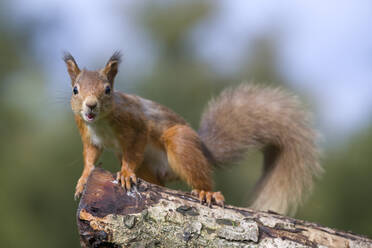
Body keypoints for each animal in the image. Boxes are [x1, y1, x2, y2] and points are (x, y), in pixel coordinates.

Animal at [64, 51, 322, 214]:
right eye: (75, 90)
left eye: (108, 90)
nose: (90, 105)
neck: (99, 123)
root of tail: (204, 149)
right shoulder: (87, 134)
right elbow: (90, 157)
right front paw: (83, 179)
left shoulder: (135, 124)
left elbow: (134, 150)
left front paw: (126, 173)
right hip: (152, 169)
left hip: (180, 142)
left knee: (200, 176)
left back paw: (207, 193)